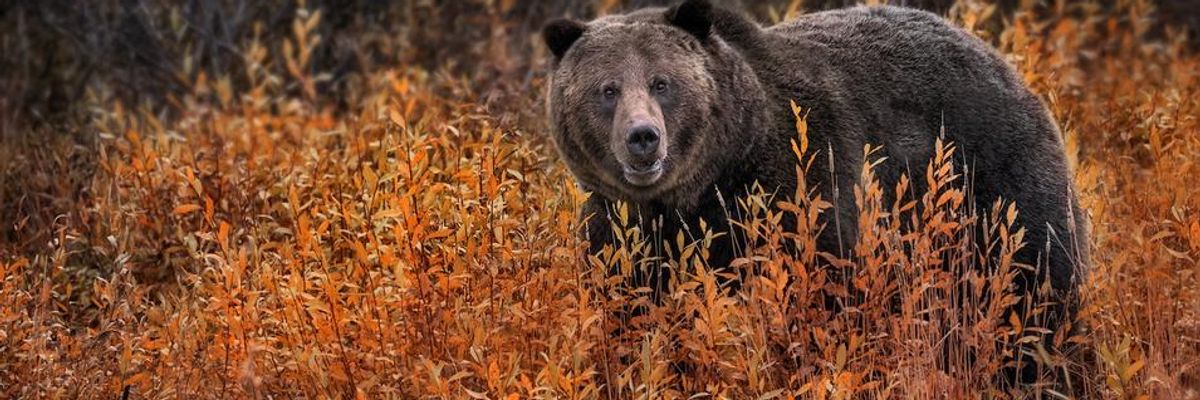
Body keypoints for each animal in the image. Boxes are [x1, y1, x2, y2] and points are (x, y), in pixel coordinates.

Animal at [542, 0, 1087, 384]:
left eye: (662, 83)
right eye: (607, 89)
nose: (643, 137)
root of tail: (1002, 62)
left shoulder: (803, 189)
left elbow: (828, 298)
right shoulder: (624, 233)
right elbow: (628, 313)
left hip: (993, 186)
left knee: (1036, 293)